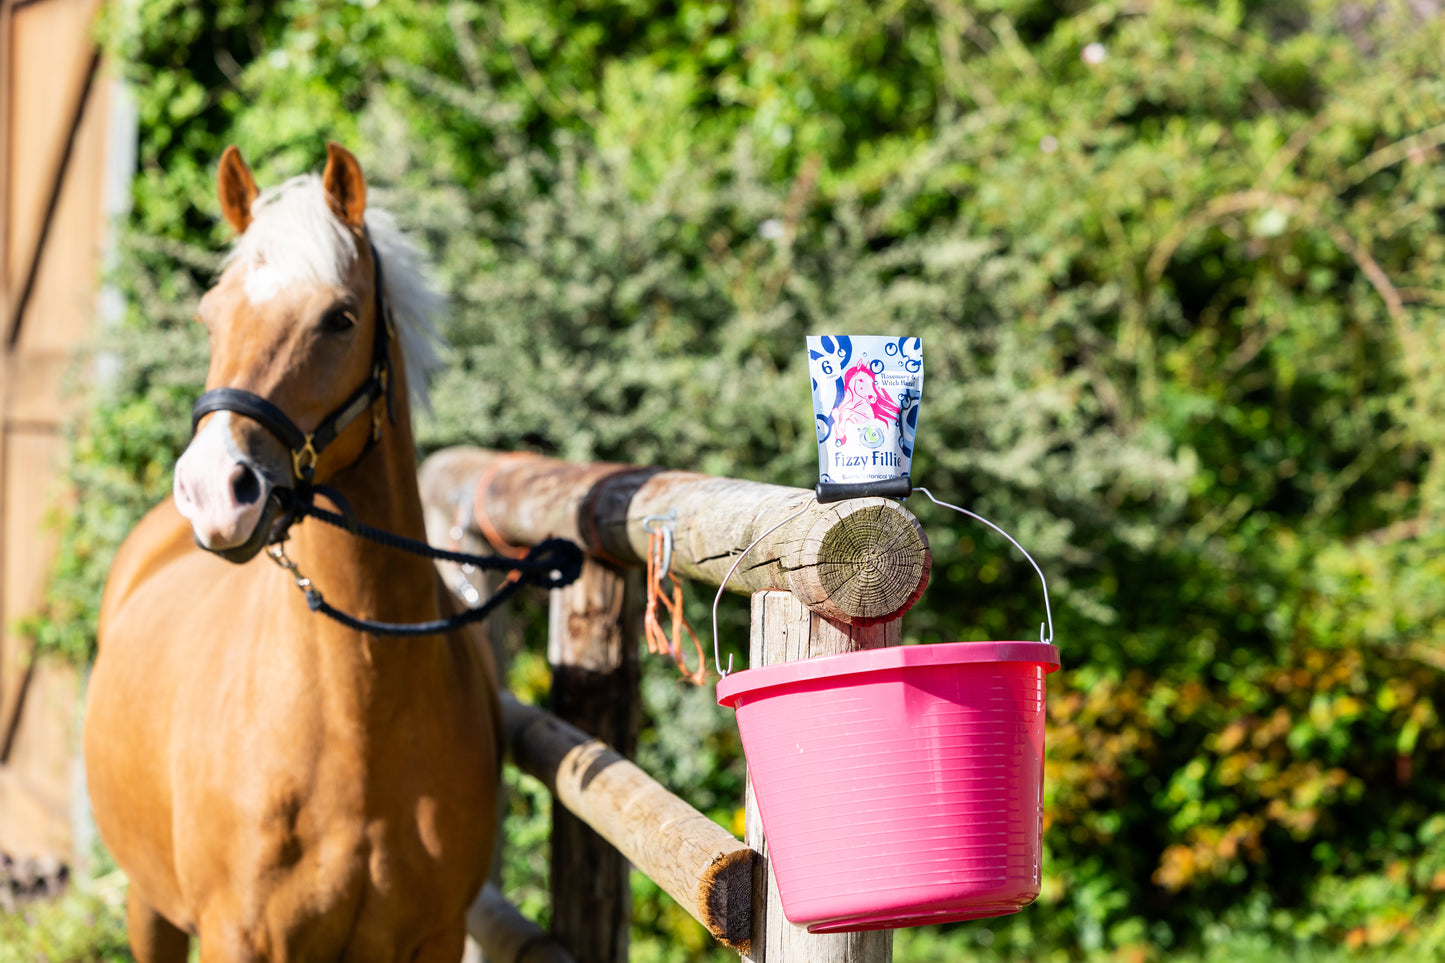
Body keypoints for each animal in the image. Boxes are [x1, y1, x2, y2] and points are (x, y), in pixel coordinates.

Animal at [84, 143, 503, 963]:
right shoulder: (239, 936)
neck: (354, 716)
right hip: (148, 908)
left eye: (340, 318)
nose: (214, 491)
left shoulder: (434, 937)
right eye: (210, 316)